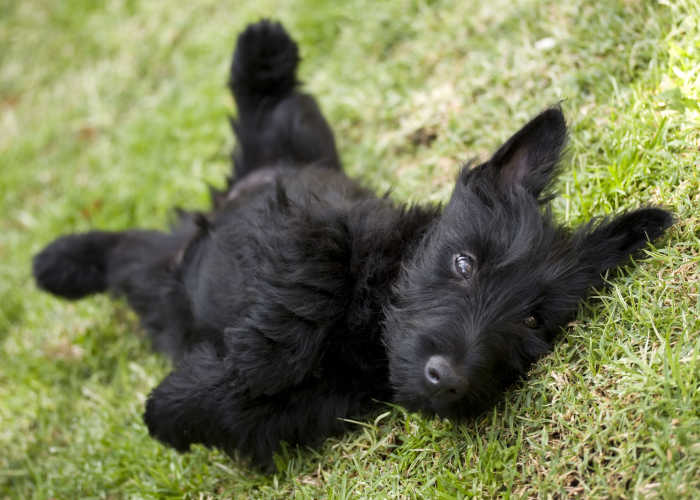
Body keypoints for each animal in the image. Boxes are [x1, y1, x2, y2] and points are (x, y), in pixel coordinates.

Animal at [32, 19, 672, 464]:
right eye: (463, 263)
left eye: (534, 321)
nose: (448, 379)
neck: (369, 335)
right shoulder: (306, 227)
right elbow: (303, 297)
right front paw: (217, 377)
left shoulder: (319, 408)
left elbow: (242, 410)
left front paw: (175, 407)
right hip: (283, 157)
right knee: (269, 107)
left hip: (163, 272)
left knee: (127, 255)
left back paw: (62, 266)